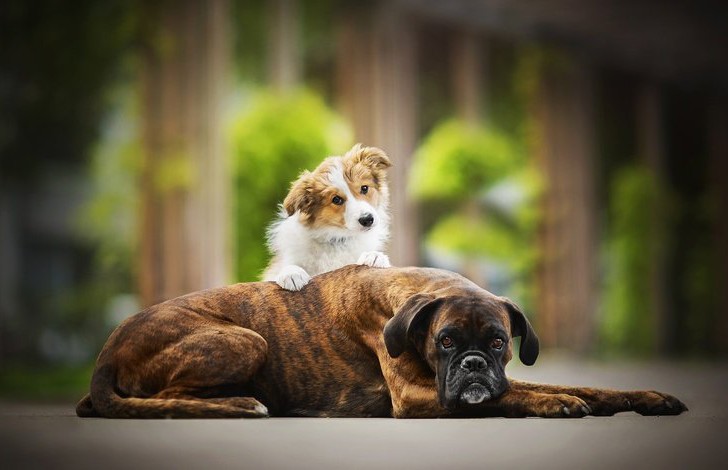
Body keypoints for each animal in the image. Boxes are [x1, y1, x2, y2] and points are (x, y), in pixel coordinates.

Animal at [77, 264, 684, 418]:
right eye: (446, 342)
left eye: (497, 343)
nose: (472, 365)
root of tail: (106, 350)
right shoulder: (417, 398)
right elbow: (512, 397)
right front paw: (556, 402)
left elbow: (585, 386)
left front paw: (646, 398)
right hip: (245, 340)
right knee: (163, 401)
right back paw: (242, 404)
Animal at [264, 143, 392, 290]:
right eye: (336, 199)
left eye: (364, 188)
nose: (367, 219)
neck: (337, 240)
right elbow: (285, 268)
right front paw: (291, 273)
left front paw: (374, 256)